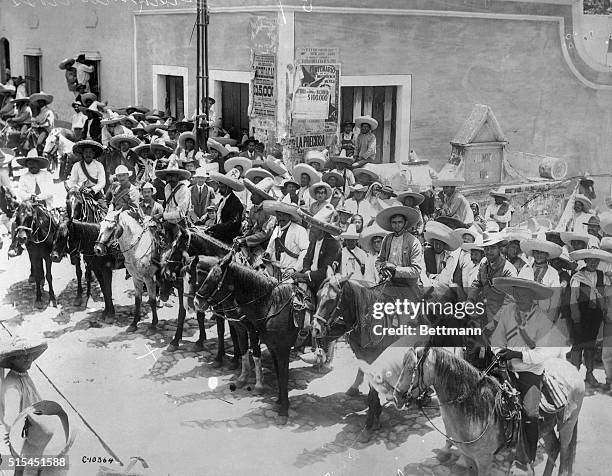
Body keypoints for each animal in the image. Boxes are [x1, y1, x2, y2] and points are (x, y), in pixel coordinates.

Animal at [196, 253, 298, 424]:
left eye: (213, 279)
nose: (196, 301)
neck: (269, 303)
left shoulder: (257, 333)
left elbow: (258, 356)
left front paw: (259, 386)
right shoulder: (241, 327)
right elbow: (243, 349)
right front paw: (242, 377)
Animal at [382, 346, 584, 476]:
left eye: (411, 368)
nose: (397, 396)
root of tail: (572, 369)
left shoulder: (484, 460)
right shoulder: (469, 457)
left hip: (567, 425)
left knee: (563, 454)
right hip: (547, 428)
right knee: (553, 448)